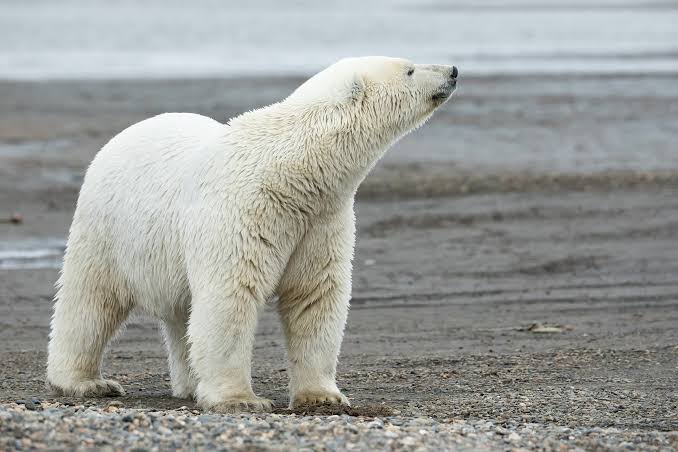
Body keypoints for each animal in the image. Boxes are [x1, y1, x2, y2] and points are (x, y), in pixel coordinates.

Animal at [47, 56, 460, 414]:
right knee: (89, 300)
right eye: (410, 69)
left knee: (181, 314)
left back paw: (189, 384)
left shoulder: (320, 221)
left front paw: (322, 396)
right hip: (107, 228)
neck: (293, 173)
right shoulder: (244, 210)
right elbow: (230, 296)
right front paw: (240, 399)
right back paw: (86, 381)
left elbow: (314, 296)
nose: (453, 70)